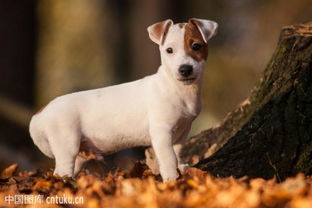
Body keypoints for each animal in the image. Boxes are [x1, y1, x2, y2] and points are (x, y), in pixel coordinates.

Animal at [29, 18, 217, 182]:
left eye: (196, 46)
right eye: (169, 50)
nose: (185, 69)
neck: (177, 88)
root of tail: (41, 112)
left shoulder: (182, 131)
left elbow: (177, 153)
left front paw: (182, 167)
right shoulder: (161, 132)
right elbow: (169, 159)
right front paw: (172, 180)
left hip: (79, 154)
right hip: (67, 145)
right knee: (61, 172)